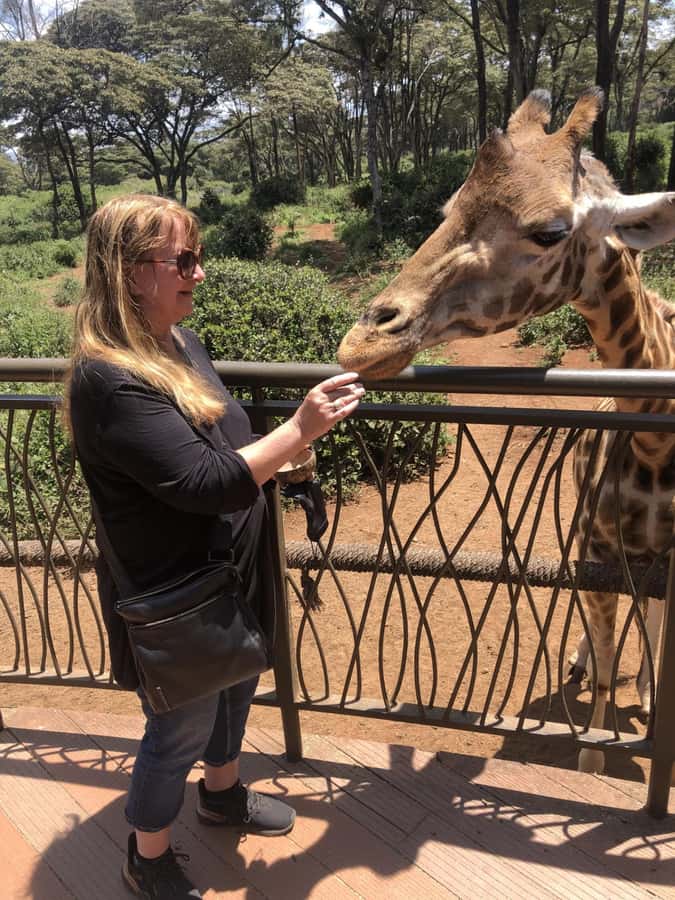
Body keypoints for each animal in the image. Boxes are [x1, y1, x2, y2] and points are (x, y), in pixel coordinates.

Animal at [337, 87, 675, 774]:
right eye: (448, 210)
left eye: (549, 232)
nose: (362, 342)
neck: (658, 444)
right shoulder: (597, 552)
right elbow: (604, 682)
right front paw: (595, 755)